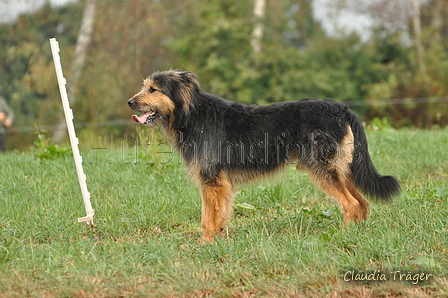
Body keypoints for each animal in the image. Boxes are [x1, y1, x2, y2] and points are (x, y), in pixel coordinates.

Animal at [128, 70, 400, 242]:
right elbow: (219, 215)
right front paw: (219, 240)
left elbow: (208, 218)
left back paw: (343, 237)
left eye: (153, 89)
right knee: (362, 203)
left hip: (322, 169)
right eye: (144, 87)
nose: (129, 102)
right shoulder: (221, 185)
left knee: (351, 204)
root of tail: (341, 108)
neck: (192, 114)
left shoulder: (212, 182)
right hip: (343, 168)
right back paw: (359, 235)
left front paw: (205, 243)